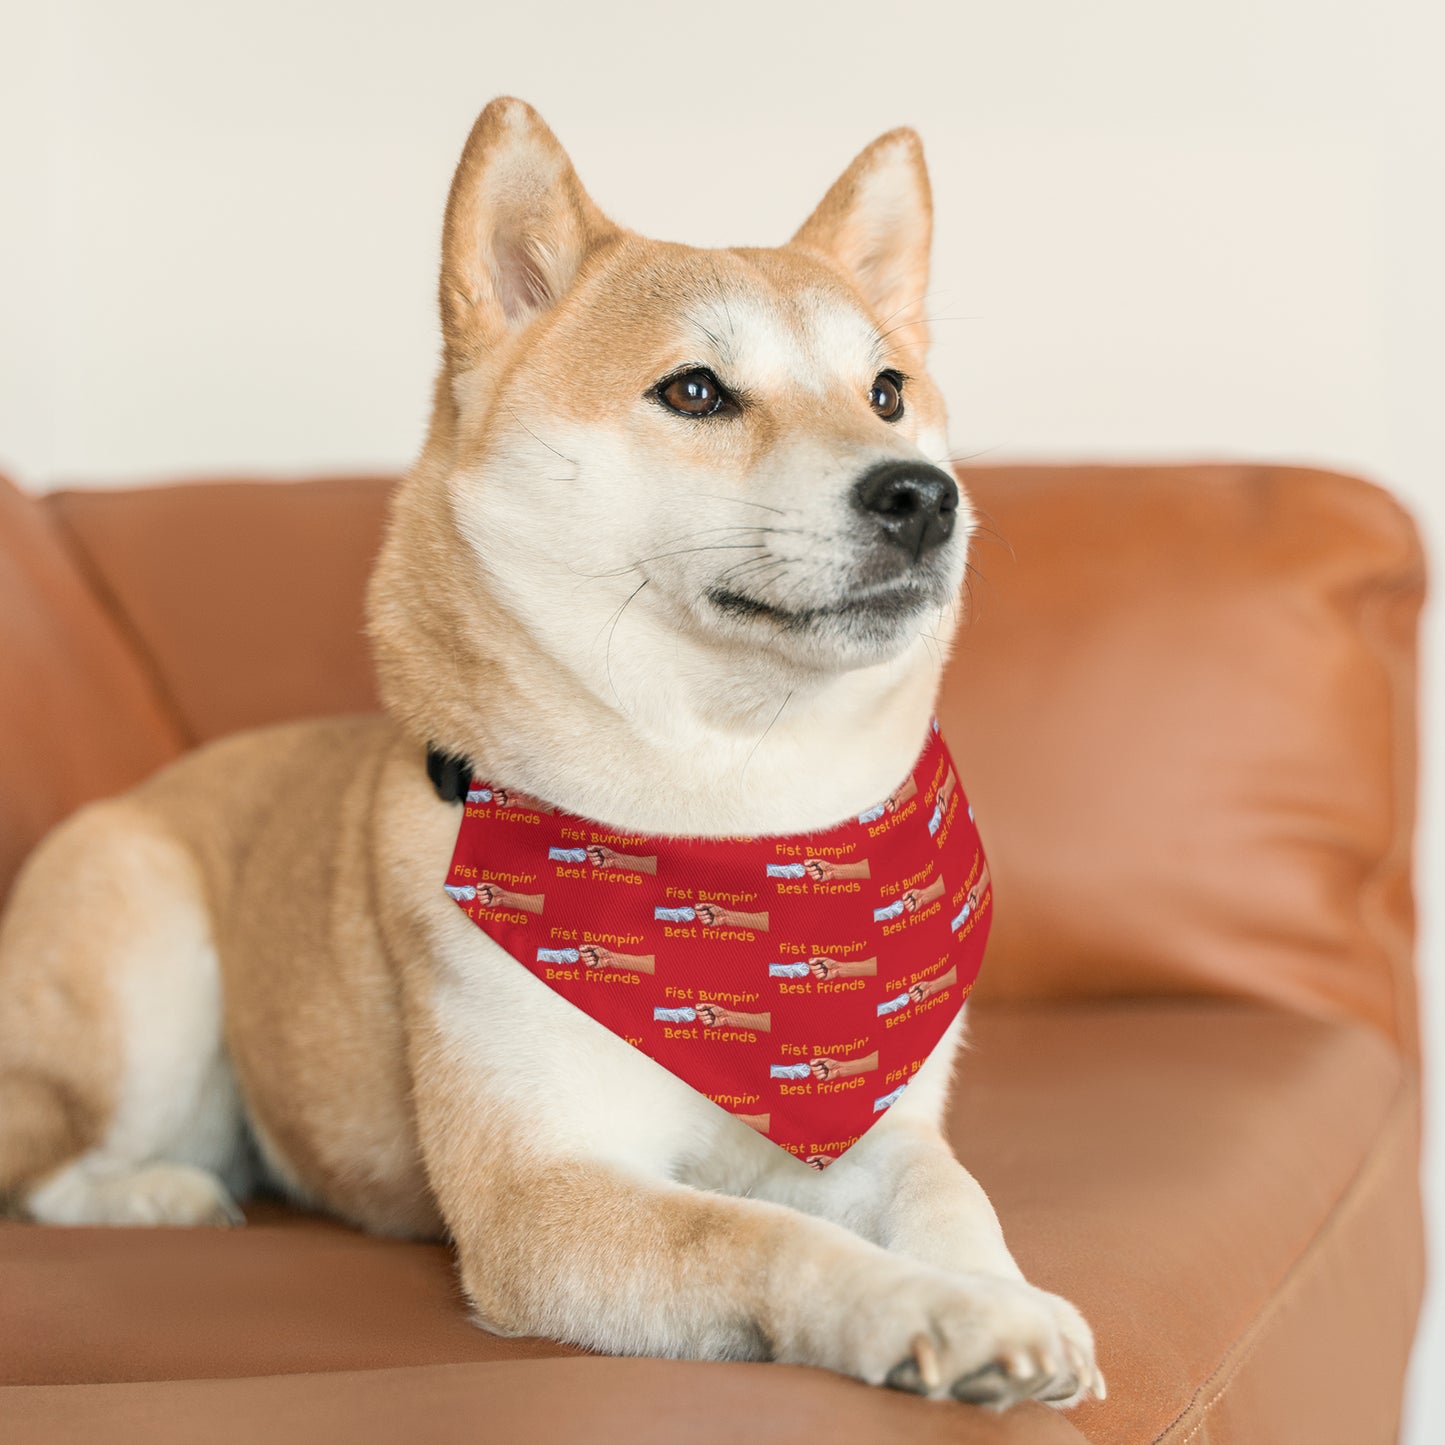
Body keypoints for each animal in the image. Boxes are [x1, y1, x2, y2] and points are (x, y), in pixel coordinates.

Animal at [0, 101, 1098, 1410]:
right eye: (694, 389)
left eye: (886, 390)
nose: (923, 496)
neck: (729, 817)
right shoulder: (541, 1195)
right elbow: (763, 1234)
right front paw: (929, 1309)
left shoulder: (877, 1124)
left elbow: (949, 1194)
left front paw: (999, 1293)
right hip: (145, 963)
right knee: (49, 1167)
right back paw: (162, 1191)